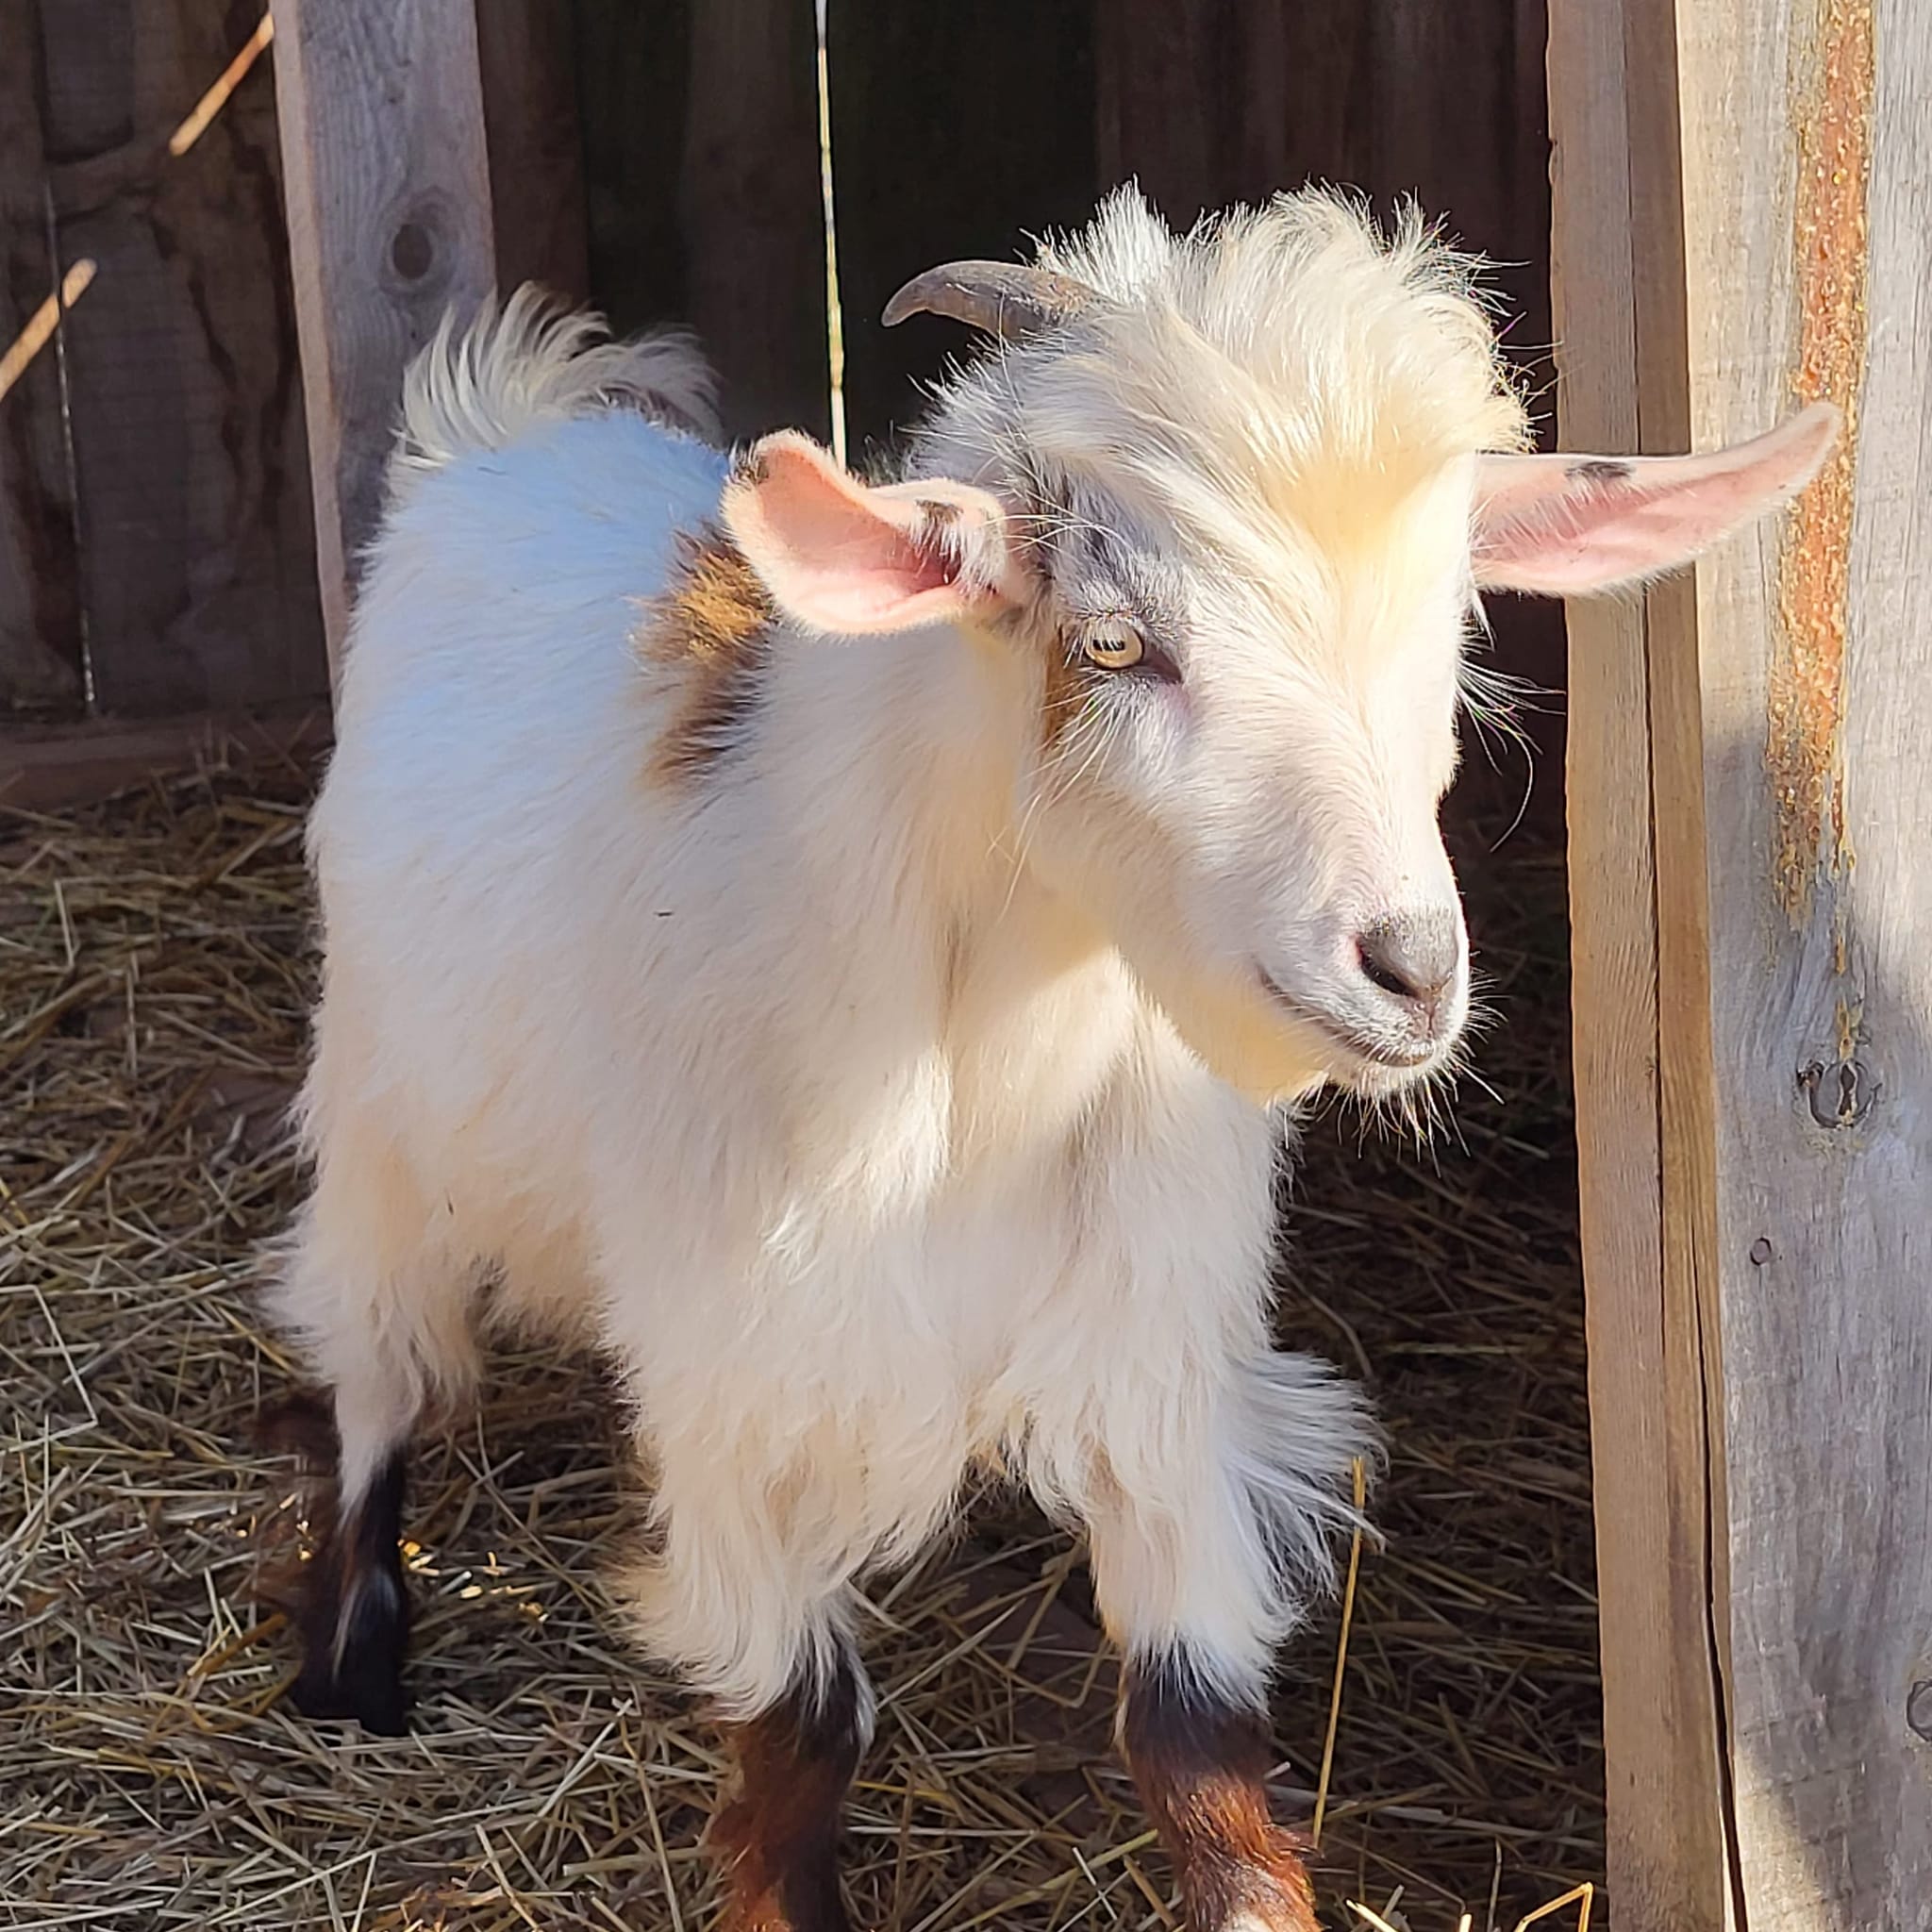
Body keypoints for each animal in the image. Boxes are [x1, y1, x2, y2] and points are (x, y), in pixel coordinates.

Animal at [268, 184, 1824, 1932]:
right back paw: (350, 1658)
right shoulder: (739, 1389)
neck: (973, 1091)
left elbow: (1199, 1751)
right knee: (372, 1364)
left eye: (1454, 625)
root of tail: (517, 426)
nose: (1410, 970)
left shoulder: (1150, 1360)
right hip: (377, 1106)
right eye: (1118, 641)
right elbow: (797, 1735)